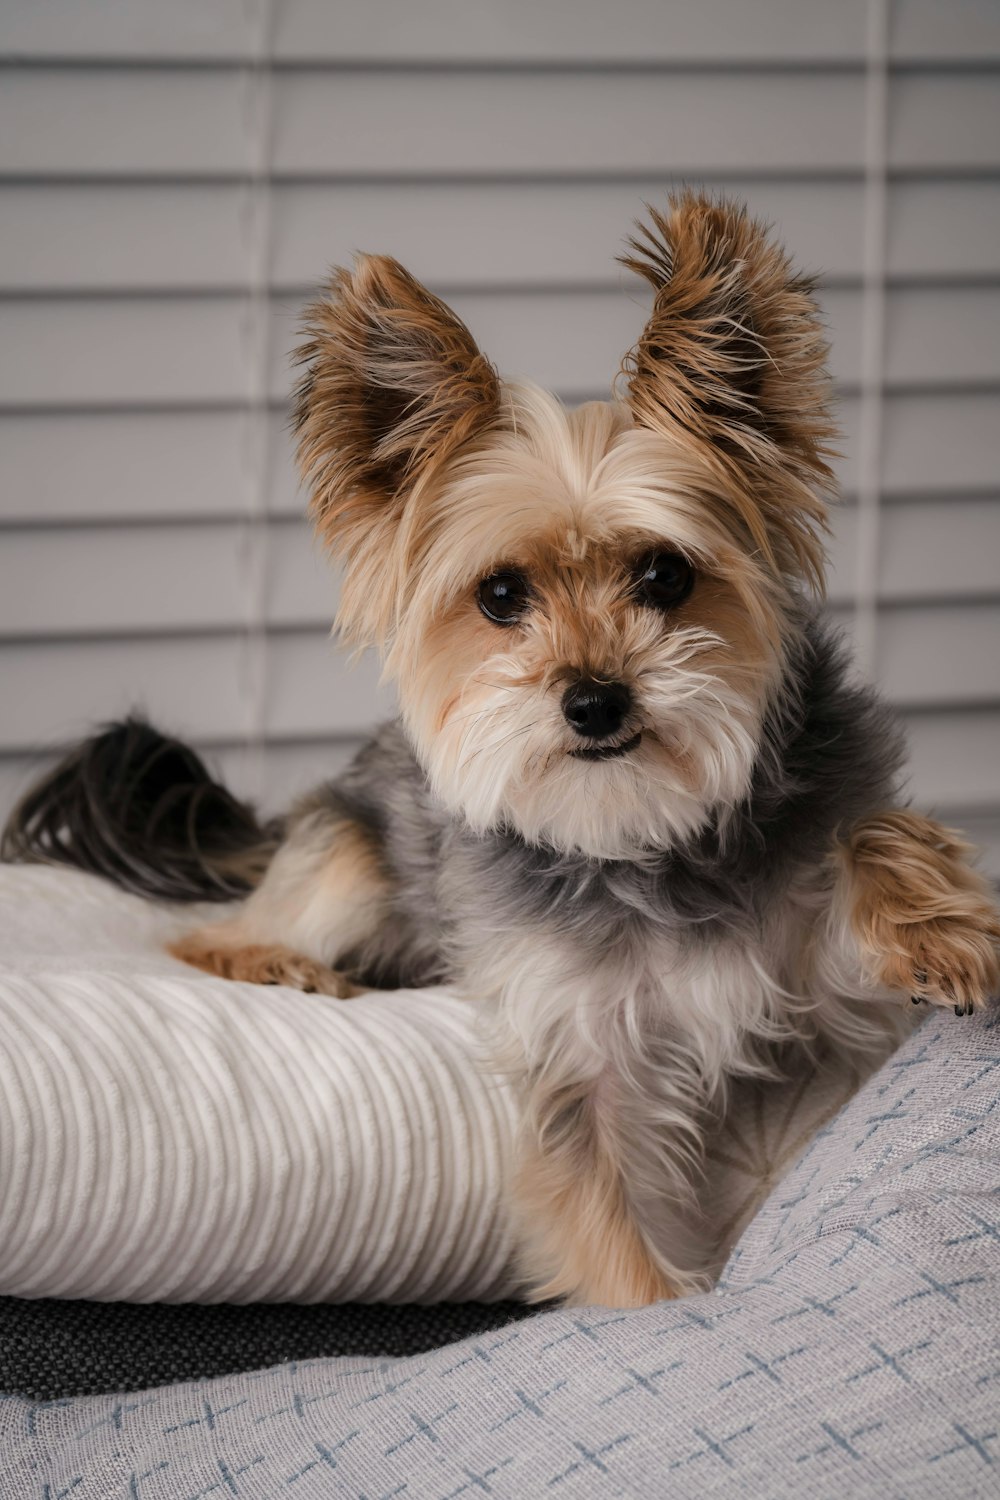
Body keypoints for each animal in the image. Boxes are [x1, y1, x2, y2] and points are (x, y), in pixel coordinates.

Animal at [9, 196, 1000, 1302]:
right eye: (498, 595)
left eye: (665, 575)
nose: (595, 701)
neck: (648, 835)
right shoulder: (584, 1059)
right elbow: (621, 1248)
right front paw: (655, 1310)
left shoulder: (836, 1017)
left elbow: (872, 832)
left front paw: (940, 937)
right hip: (350, 859)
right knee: (210, 936)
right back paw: (286, 965)